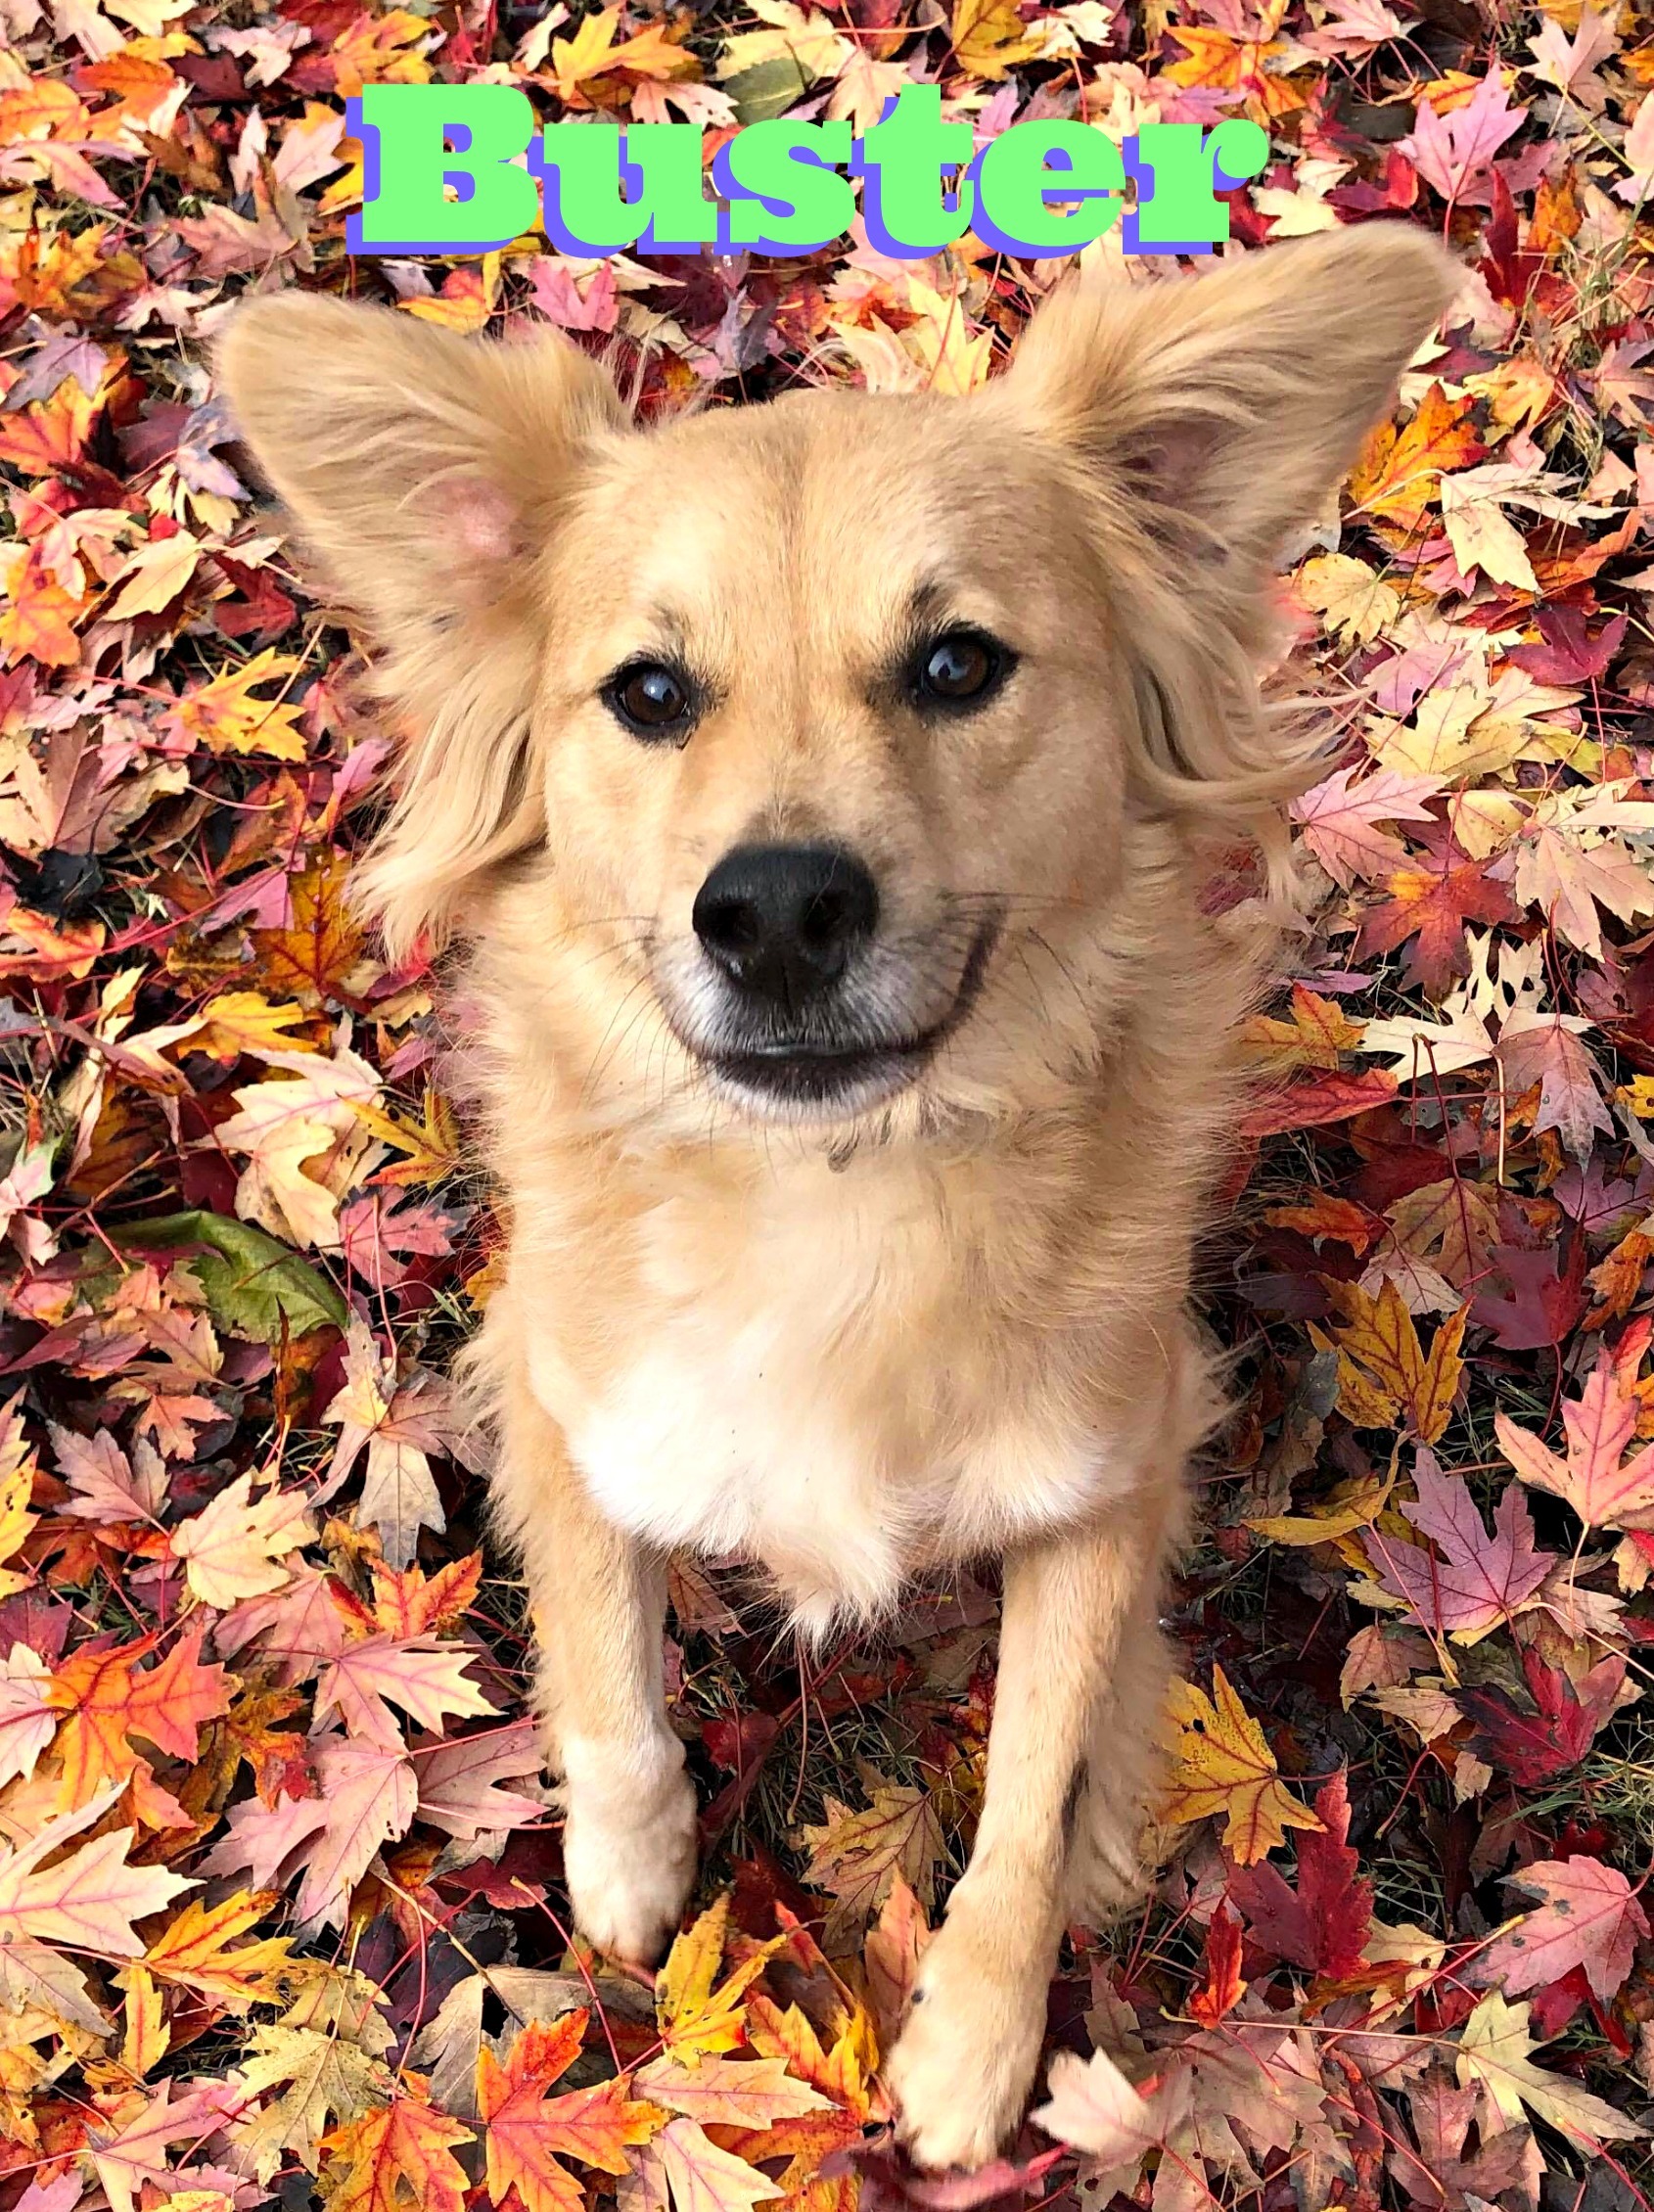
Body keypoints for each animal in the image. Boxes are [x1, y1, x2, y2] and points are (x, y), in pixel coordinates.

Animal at [219, 219, 1459, 2158]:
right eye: (648, 695)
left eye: (957, 665)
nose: (781, 910)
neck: (835, 1193)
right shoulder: (553, 1398)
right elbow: (610, 1675)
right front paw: (629, 1870)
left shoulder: (1119, 1467)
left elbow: (1030, 1795)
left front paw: (974, 2046)